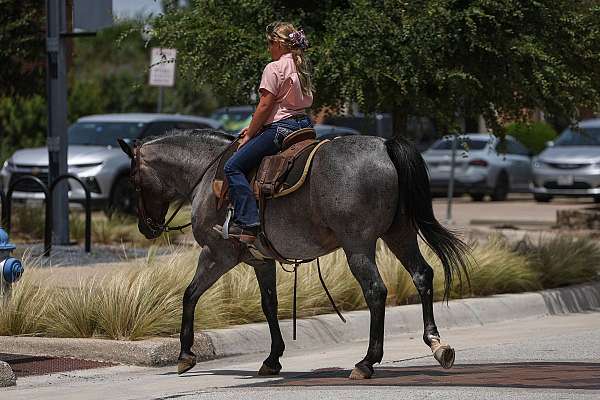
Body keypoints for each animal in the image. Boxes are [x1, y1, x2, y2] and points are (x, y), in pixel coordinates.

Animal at [117, 130, 472, 380]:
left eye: (133, 179)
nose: (146, 227)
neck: (209, 176)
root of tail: (384, 146)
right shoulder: (261, 260)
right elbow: (269, 305)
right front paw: (273, 358)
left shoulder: (217, 254)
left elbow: (190, 295)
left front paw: (185, 354)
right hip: (399, 234)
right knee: (422, 275)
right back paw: (437, 345)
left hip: (358, 245)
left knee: (376, 292)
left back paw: (367, 362)